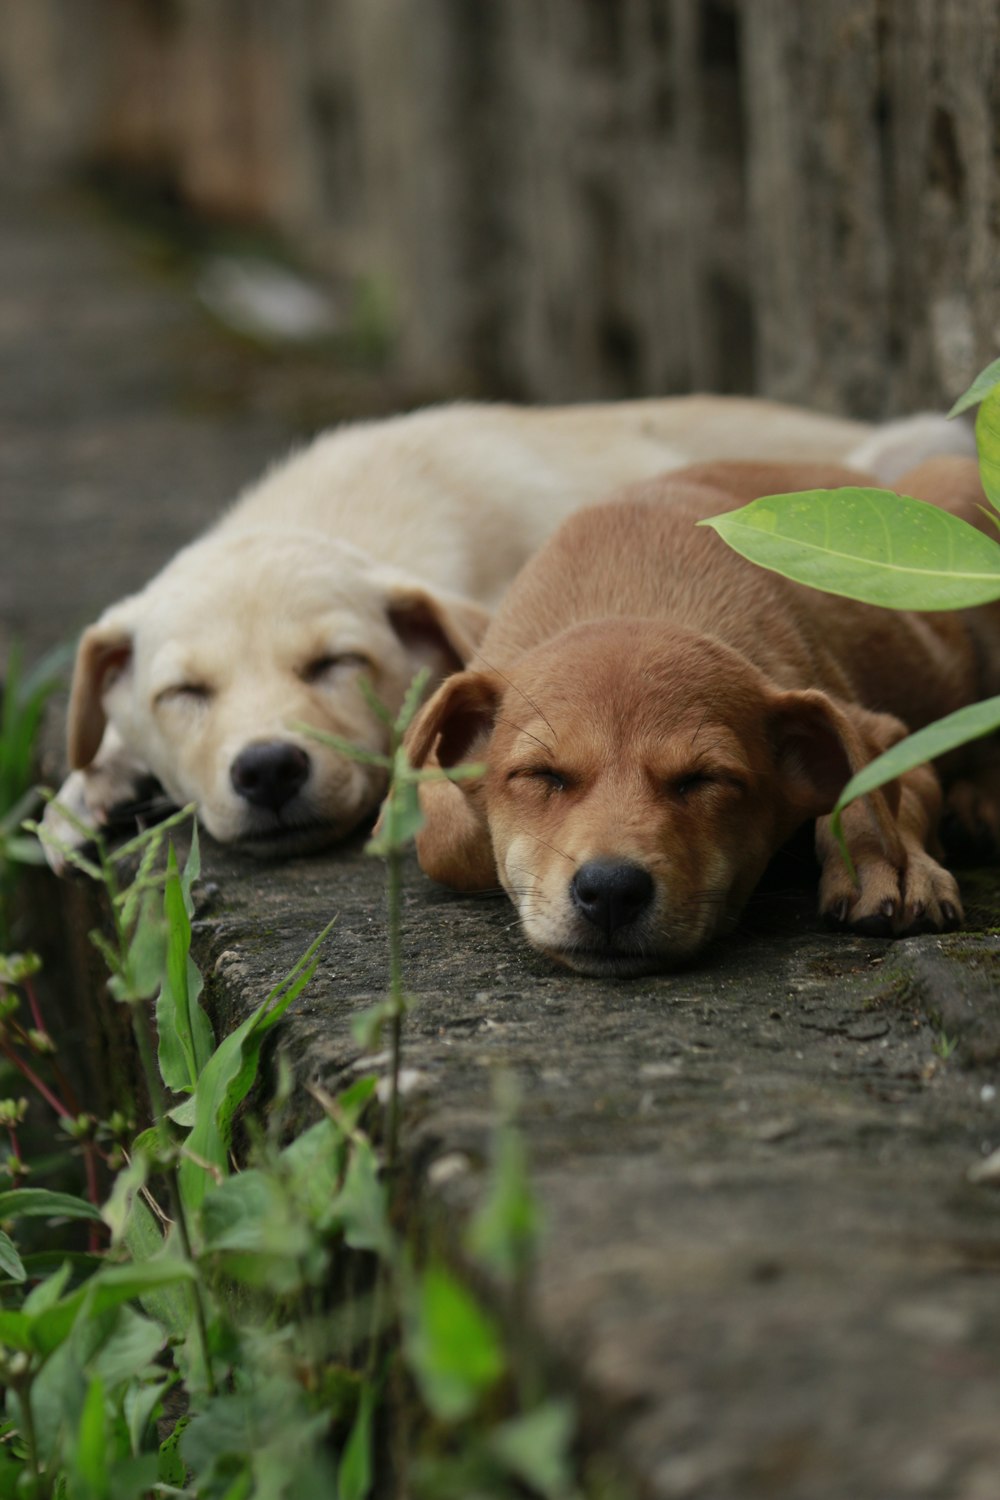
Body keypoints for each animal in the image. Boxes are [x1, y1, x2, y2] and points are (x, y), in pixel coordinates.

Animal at [401, 456, 995, 972]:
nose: (611, 892)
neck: (633, 588)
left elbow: (875, 792)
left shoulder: (887, 732)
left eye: (706, 779)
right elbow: (448, 837)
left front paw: (892, 865)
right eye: (541, 775)